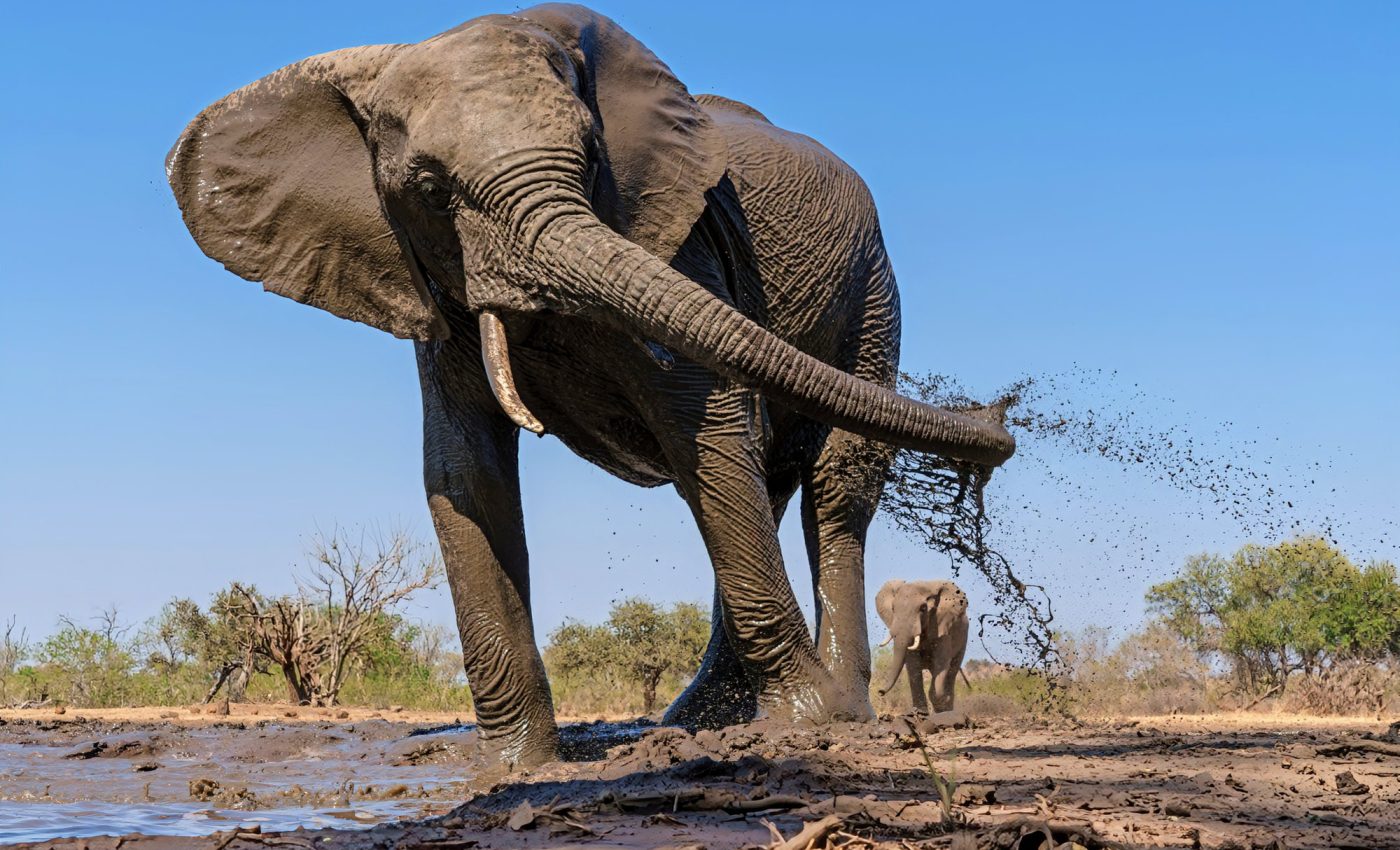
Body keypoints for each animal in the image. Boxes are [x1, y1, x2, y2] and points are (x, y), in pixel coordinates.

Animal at [874, 579, 969, 714]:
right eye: (893, 608)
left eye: (923, 608)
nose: (880, 692)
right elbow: (913, 664)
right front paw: (920, 712)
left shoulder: (942, 627)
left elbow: (941, 663)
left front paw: (942, 705)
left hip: (963, 638)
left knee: (952, 670)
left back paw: (947, 708)